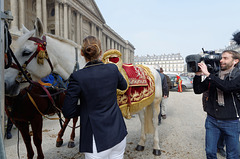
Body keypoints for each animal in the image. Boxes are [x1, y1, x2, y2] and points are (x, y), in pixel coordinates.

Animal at [4, 18, 163, 156]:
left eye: (26, 52)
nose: (5, 83)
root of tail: (151, 68)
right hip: (142, 102)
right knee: (143, 119)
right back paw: (141, 143)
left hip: (155, 102)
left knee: (155, 122)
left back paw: (156, 147)